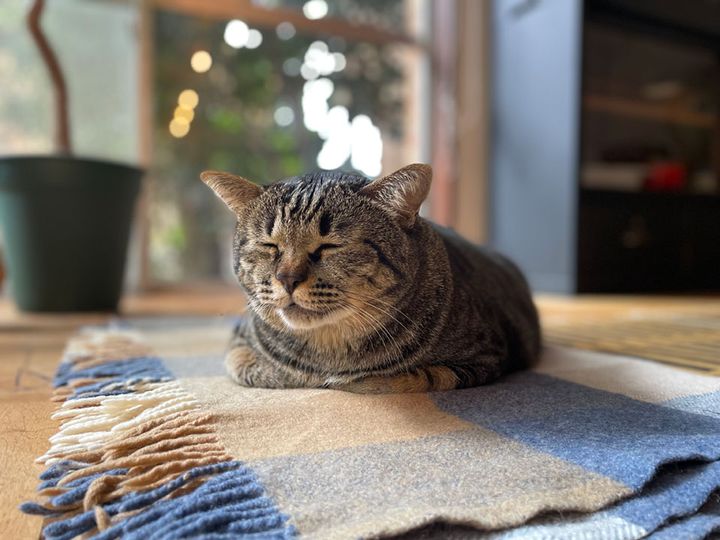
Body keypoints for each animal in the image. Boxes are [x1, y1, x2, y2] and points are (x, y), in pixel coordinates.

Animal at [200, 162, 536, 394]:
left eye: (330, 246)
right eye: (270, 246)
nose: (288, 279)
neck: (329, 351)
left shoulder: (484, 358)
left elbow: (396, 379)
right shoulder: (239, 342)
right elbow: (247, 365)